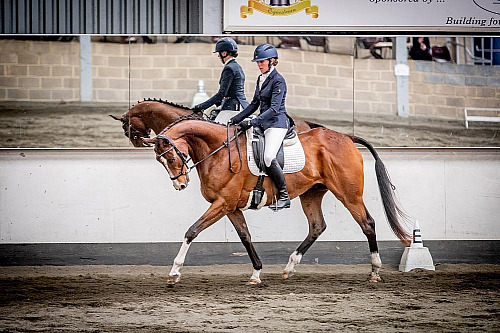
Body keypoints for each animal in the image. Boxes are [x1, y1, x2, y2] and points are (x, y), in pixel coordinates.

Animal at [144, 115, 410, 284]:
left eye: (171, 157)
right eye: (160, 160)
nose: (180, 184)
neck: (219, 151)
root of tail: (346, 137)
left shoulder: (222, 204)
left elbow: (192, 231)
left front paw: (174, 272)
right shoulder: (230, 207)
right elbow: (245, 236)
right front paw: (256, 274)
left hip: (349, 195)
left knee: (368, 224)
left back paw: (375, 272)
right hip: (311, 194)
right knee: (317, 226)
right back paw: (290, 267)